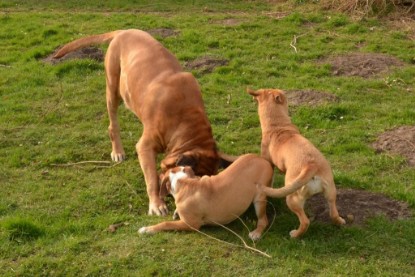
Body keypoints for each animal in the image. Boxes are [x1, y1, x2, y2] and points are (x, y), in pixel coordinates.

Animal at [140, 153, 276, 239]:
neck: (184, 182)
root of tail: (262, 159)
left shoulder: (191, 224)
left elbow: (166, 224)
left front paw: (147, 229)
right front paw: (176, 212)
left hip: (259, 197)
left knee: (263, 220)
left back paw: (256, 233)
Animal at [247, 88, 348, 237]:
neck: (277, 126)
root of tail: (311, 166)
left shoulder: (269, 163)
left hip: (292, 198)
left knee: (305, 221)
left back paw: (295, 234)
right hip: (331, 192)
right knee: (333, 213)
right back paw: (339, 222)